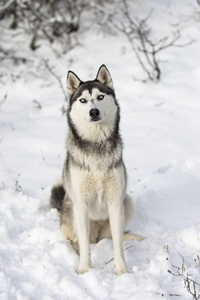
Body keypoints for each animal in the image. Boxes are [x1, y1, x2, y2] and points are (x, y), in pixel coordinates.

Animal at [50, 65, 141, 274]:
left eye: (100, 97)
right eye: (83, 100)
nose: (93, 112)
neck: (96, 144)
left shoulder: (115, 203)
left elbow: (118, 244)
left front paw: (122, 271)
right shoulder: (81, 206)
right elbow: (84, 246)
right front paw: (84, 270)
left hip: (126, 202)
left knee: (110, 237)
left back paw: (132, 237)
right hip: (71, 211)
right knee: (78, 241)